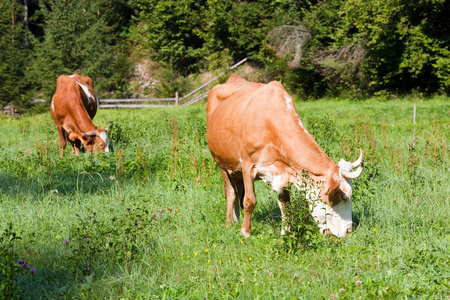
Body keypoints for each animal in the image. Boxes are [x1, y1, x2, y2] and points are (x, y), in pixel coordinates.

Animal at [207, 75, 362, 239]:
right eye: (344, 196)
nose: (348, 231)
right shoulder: (247, 164)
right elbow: (249, 201)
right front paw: (245, 232)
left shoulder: (285, 170)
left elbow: (285, 204)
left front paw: (286, 232)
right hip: (222, 163)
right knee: (230, 192)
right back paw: (229, 223)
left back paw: (236, 219)